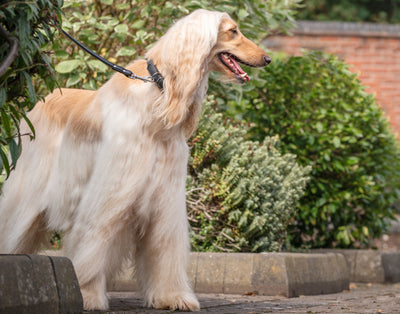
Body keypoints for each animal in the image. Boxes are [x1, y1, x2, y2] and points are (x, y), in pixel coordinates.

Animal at [0, 9, 270, 312]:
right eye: (233, 31)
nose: (267, 59)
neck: (159, 97)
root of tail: (39, 101)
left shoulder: (165, 198)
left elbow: (166, 247)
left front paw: (172, 296)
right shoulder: (110, 190)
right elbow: (94, 238)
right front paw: (88, 295)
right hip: (27, 190)